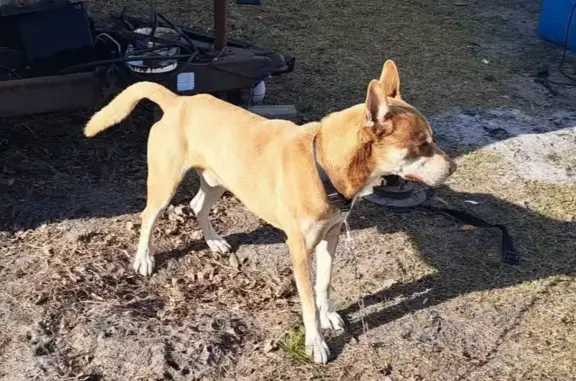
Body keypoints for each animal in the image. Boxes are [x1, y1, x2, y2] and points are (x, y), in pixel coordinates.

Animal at [84, 59, 454, 362]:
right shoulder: (299, 250)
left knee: (197, 205)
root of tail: (179, 101)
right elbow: (307, 302)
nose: (452, 168)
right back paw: (144, 259)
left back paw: (214, 242)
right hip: (165, 183)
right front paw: (315, 342)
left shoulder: (331, 236)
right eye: (421, 145)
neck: (325, 164)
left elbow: (325, 284)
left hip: (218, 180)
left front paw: (329, 315)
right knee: (149, 217)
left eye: (431, 140)